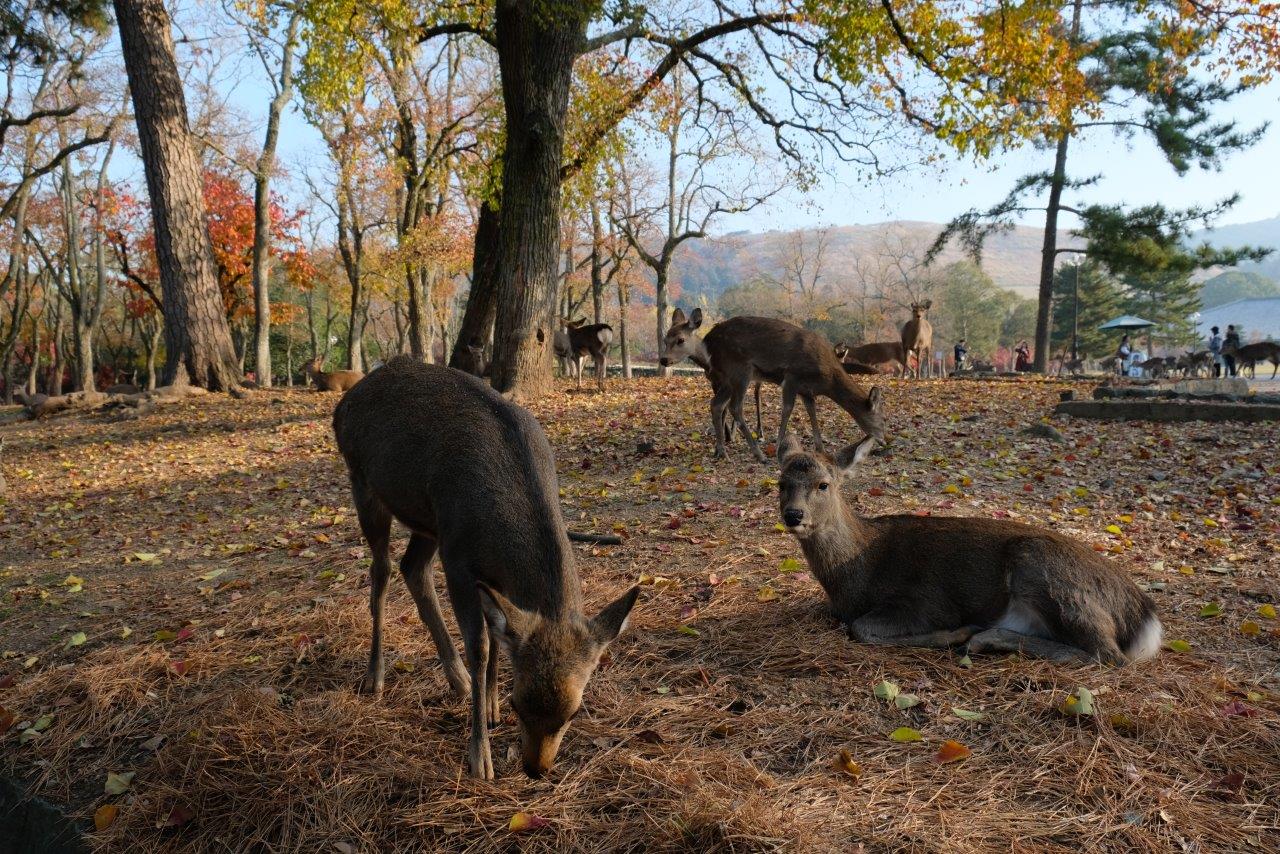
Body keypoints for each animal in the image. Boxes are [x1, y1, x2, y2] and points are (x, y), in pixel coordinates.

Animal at [332, 358, 637, 778]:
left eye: (574, 712)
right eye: (517, 703)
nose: (535, 769)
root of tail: (343, 404)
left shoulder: (484, 570)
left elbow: (497, 634)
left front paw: (489, 707)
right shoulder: (459, 560)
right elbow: (479, 645)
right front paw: (481, 755)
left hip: (429, 521)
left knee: (413, 568)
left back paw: (456, 679)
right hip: (364, 484)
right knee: (382, 572)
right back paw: (374, 676)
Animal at [655, 307, 885, 463]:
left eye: (679, 339)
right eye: (883, 418)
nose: (884, 440)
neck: (827, 377)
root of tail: (708, 341)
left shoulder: (806, 390)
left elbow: (812, 411)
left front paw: (821, 448)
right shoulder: (791, 377)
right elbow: (787, 409)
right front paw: (778, 446)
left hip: (728, 378)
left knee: (717, 404)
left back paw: (722, 451)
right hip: (740, 370)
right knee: (735, 407)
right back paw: (758, 454)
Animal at [773, 437, 1167, 665]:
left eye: (823, 484)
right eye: (781, 482)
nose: (793, 515)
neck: (857, 574)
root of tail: (1143, 612)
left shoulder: (924, 601)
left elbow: (861, 628)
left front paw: (955, 634)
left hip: (1047, 573)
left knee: (1110, 656)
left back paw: (981, 638)